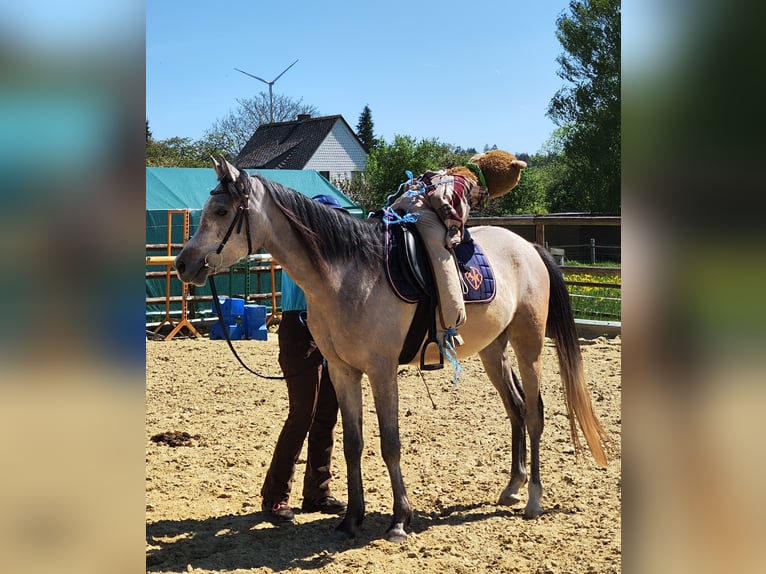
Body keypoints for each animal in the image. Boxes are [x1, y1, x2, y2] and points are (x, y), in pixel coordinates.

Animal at [174, 159, 612, 542]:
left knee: (535, 412)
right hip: (493, 350)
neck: (348, 274)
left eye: (221, 210)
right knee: (517, 407)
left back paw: (534, 499)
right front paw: (351, 519)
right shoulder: (342, 371)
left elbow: (390, 443)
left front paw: (400, 519)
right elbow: (352, 444)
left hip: (529, 344)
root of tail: (529, 247)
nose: (182, 263)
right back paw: (513, 487)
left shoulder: (382, 371)